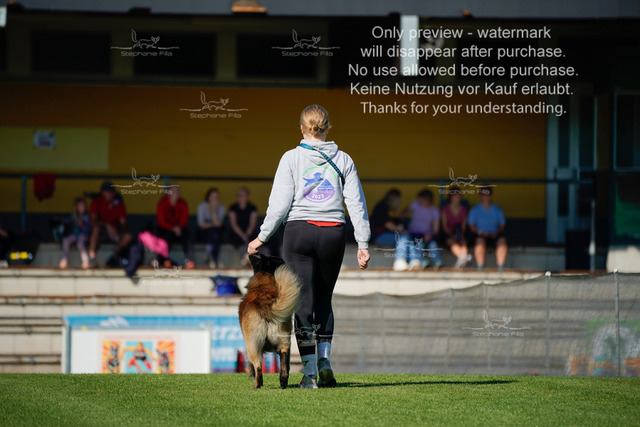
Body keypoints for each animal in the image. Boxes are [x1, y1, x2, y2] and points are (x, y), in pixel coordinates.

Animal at [238, 253, 301, 389]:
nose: (251, 253)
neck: (263, 287)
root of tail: (264, 304)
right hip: (284, 339)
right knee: (283, 357)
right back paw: (283, 381)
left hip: (252, 345)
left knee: (257, 365)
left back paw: (257, 385)